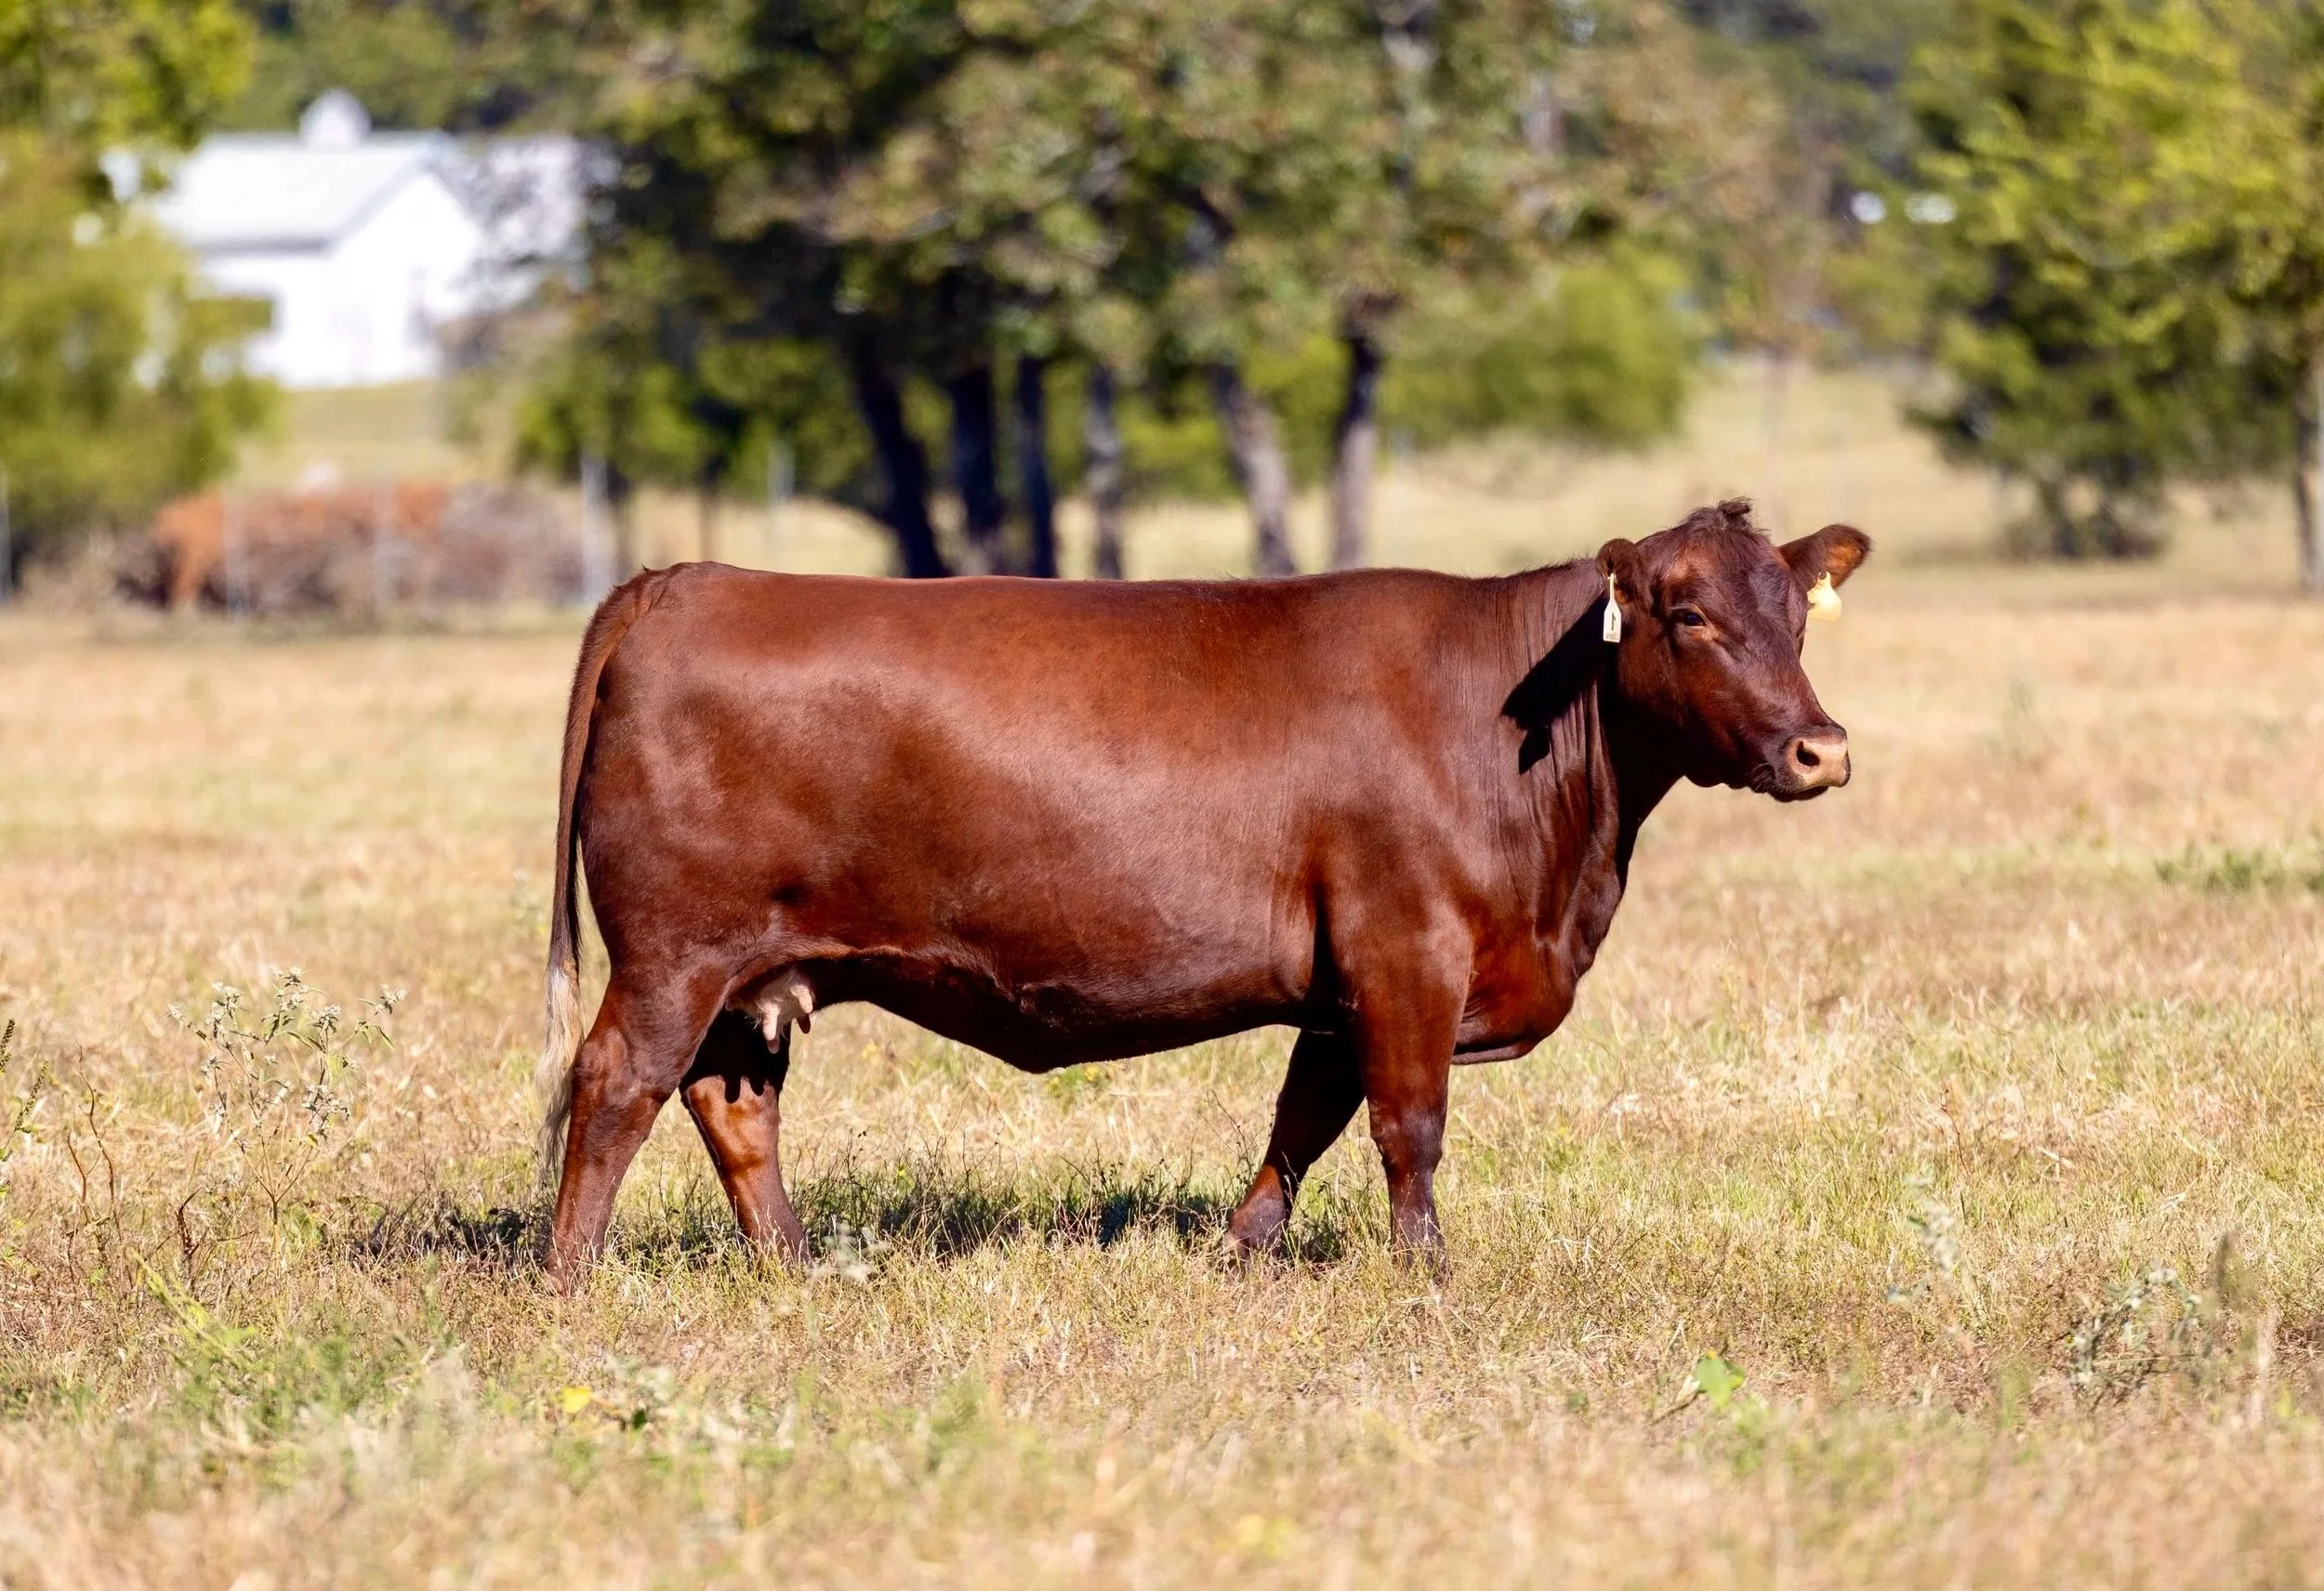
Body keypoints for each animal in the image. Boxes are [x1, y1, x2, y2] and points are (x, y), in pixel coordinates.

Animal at [534, 498, 1870, 1283]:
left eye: (1798, 613)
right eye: (1688, 615)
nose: (1822, 749)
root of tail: (685, 577)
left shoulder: (1344, 982)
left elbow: (1305, 1116)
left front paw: (1242, 1250)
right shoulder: (1406, 947)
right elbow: (1408, 1125)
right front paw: (1423, 1275)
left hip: (751, 971)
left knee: (731, 1104)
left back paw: (796, 1267)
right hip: (673, 954)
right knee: (614, 1085)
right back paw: (568, 1275)